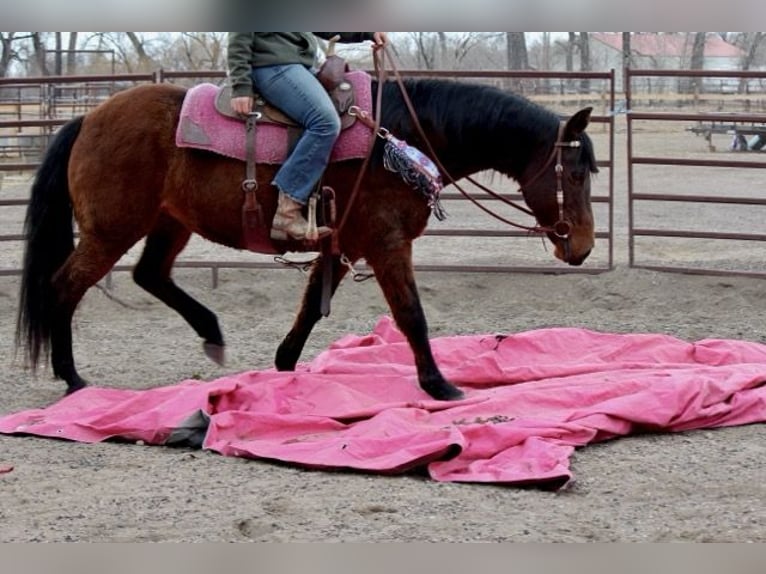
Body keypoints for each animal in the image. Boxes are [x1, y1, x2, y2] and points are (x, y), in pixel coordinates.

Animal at [13, 76, 600, 402]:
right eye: (575, 173)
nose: (584, 247)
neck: (400, 136)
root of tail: (88, 118)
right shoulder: (386, 244)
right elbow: (411, 314)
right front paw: (439, 384)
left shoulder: (344, 246)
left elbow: (311, 308)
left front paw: (284, 366)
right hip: (111, 229)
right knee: (65, 286)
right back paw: (72, 377)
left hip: (168, 222)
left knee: (149, 274)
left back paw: (211, 333)